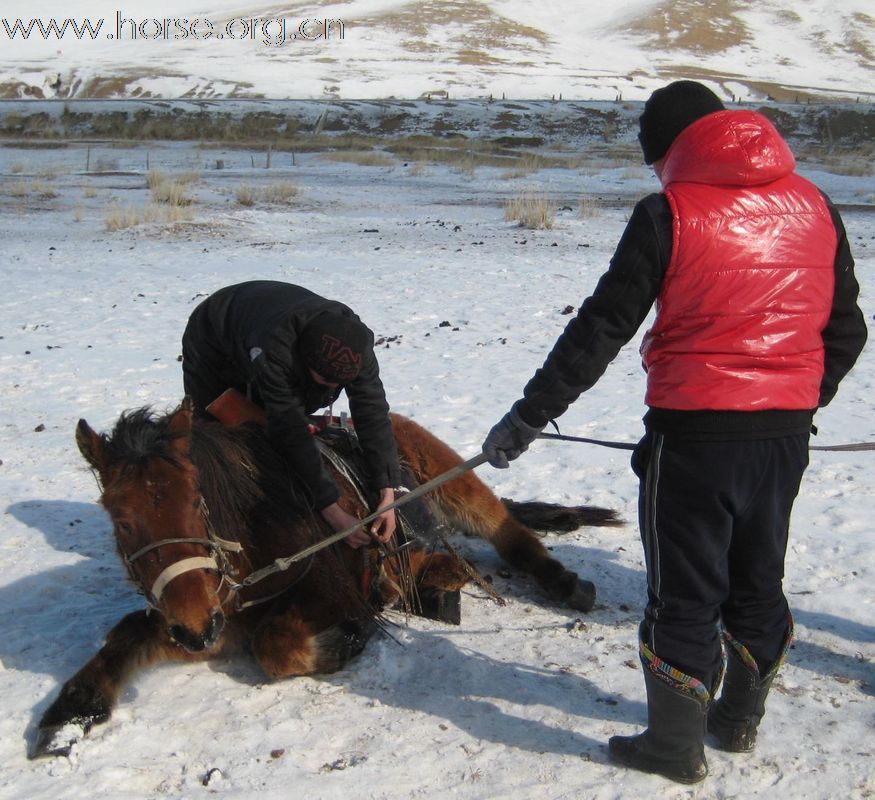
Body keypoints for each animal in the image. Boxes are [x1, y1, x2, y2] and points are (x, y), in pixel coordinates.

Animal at [32, 400, 624, 756]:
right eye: (121, 519)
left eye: (197, 501)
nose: (196, 630)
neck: (251, 537)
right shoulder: (212, 611)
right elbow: (129, 632)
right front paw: (70, 711)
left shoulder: (328, 593)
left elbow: (276, 643)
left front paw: (344, 643)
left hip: (459, 486)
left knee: (513, 535)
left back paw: (563, 583)